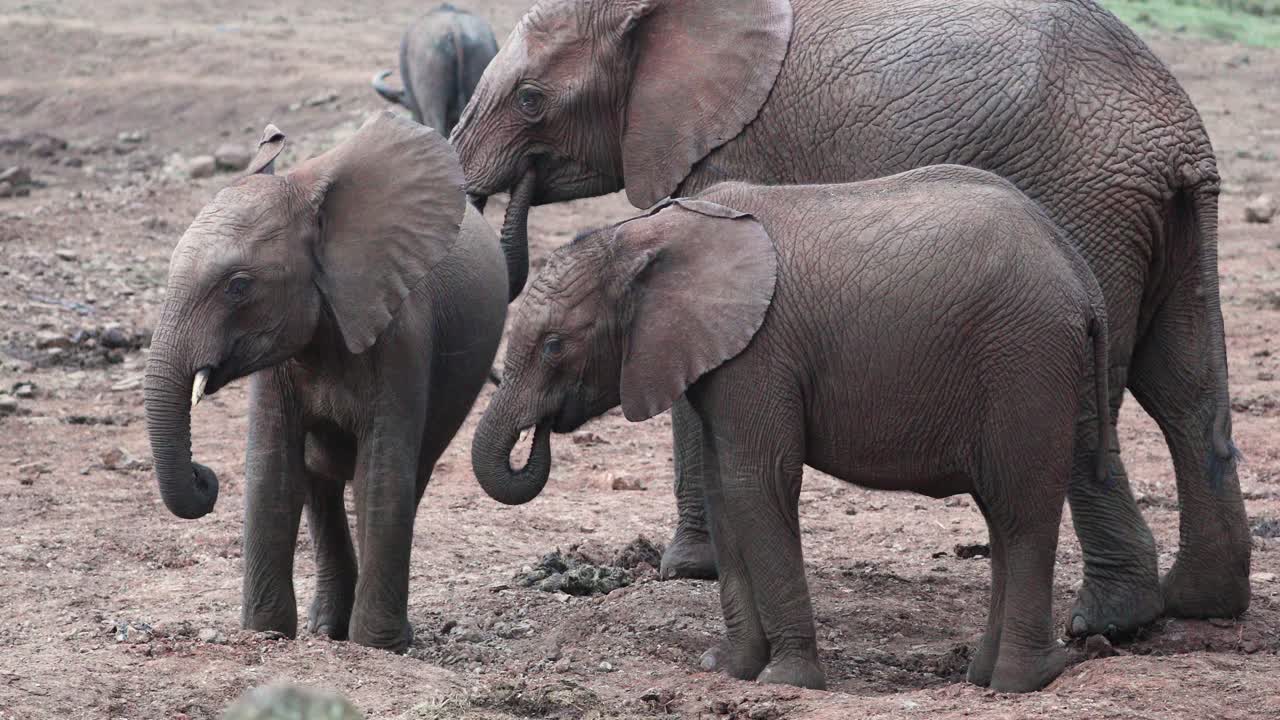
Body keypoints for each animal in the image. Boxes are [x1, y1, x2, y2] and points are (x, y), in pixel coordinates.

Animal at [143, 111, 507, 651]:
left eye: (238, 287)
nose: (203, 477)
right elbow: (272, 471)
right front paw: (268, 633)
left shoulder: (401, 336)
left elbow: (381, 476)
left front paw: (378, 645)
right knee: (320, 479)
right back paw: (326, 628)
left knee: (406, 474)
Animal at [449, 0, 1250, 636]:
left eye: (530, 100)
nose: (516, 188)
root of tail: (1176, 138)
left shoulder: (729, 152)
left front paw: (685, 570)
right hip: (1168, 219)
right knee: (1185, 389)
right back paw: (1198, 605)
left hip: (1087, 206)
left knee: (1092, 404)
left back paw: (1107, 622)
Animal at [471, 168, 1112, 692]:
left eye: (555, 346)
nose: (540, 433)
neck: (648, 234)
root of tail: (1080, 272)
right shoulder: (722, 358)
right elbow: (724, 492)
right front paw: (727, 667)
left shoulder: (760, 352)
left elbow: (758, 484)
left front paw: (787, 679)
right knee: (1000, 514)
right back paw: (984, 674)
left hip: (1025, 358)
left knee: (1020, 508)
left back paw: (1022, 681)